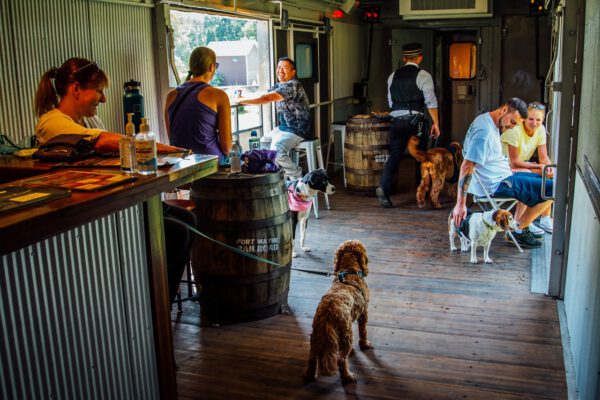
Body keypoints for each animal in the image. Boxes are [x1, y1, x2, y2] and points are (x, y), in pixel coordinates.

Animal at [302, 239, 372, 382]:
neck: (349, 270)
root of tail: (327, 312)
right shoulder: (364, 313)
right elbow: (363, 331)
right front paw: (365, 344)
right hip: (346, 334)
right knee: (341, 359)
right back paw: (348, 376)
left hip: (316, 336)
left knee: (312, 358)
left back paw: (309, 376)